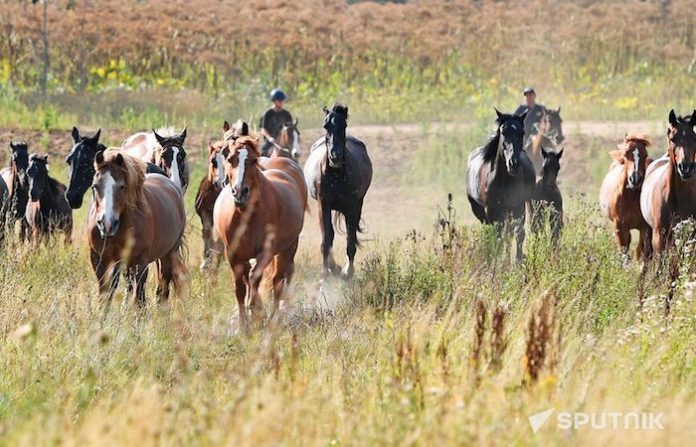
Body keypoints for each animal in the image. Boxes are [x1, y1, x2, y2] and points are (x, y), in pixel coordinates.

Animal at [87, 149, 187, 309]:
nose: (107, 224)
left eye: (122, 186)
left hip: (169, 253)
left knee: (163, 287)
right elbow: (106, 294)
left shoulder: (141, 261)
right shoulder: (100, 260)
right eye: (95, 186)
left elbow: (139, 298)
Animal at [213, 136, 306, 328]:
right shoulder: (233, 253)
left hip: (288, 248)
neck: (246, 214)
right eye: (230, 159)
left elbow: (254, 278)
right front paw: (242, 324)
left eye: (253, 160)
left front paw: (256, 311)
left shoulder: (265, 252)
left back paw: (274, 317)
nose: (239, 192)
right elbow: (240, 288)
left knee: (278, 281)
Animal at [303, 103, 372, 278]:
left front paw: (348, 271)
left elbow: (350, 238)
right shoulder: (323, 205)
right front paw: (326, 271)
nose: (335, 156)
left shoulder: (352, 207)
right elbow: (327, 238)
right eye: (325, 125)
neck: (336, 175)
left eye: (344, 125)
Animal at [467, 109, 536, 261]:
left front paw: (518, 260)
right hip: (480, 210)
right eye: (503, 131)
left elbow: (518, 233)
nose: (513, 164)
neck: (504, 180)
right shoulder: (491, 210)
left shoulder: (518, 207)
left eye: (522, 132)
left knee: (508, 233)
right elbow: (495, 236)